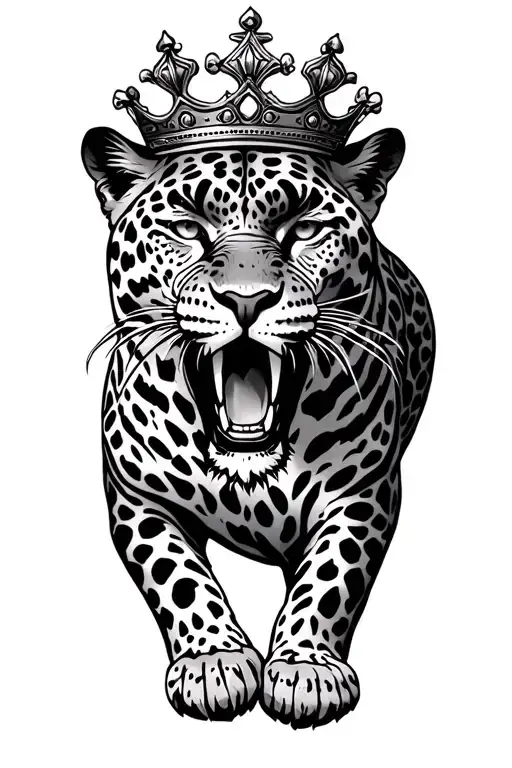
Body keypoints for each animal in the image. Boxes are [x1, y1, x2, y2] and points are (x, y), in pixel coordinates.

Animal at [82, 125, 435, 728]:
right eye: (187, 230)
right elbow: (177, 576)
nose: (246, 301)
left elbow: (330, 576)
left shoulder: (363, 494)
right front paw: (214, 664)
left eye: (306, 231)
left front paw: (306, 669)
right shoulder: (138, 496)